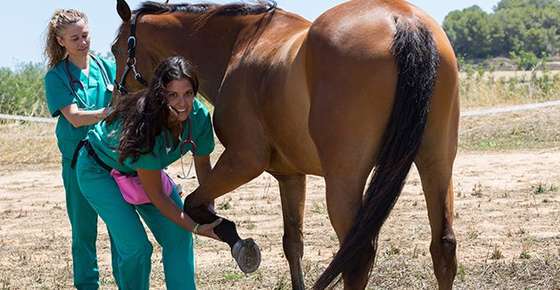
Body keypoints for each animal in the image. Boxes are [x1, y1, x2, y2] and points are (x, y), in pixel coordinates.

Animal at [114, 1, 460, 288]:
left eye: (116, 49)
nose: (118, 98)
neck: (242, 44)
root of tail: (403, 20)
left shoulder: (243, 161)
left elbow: (194, 205)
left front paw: (241, 247)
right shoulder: (290, 176)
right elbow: (292, 244)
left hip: (344, 181)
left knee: (356, 258)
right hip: (436, 164)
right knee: (443, 247)